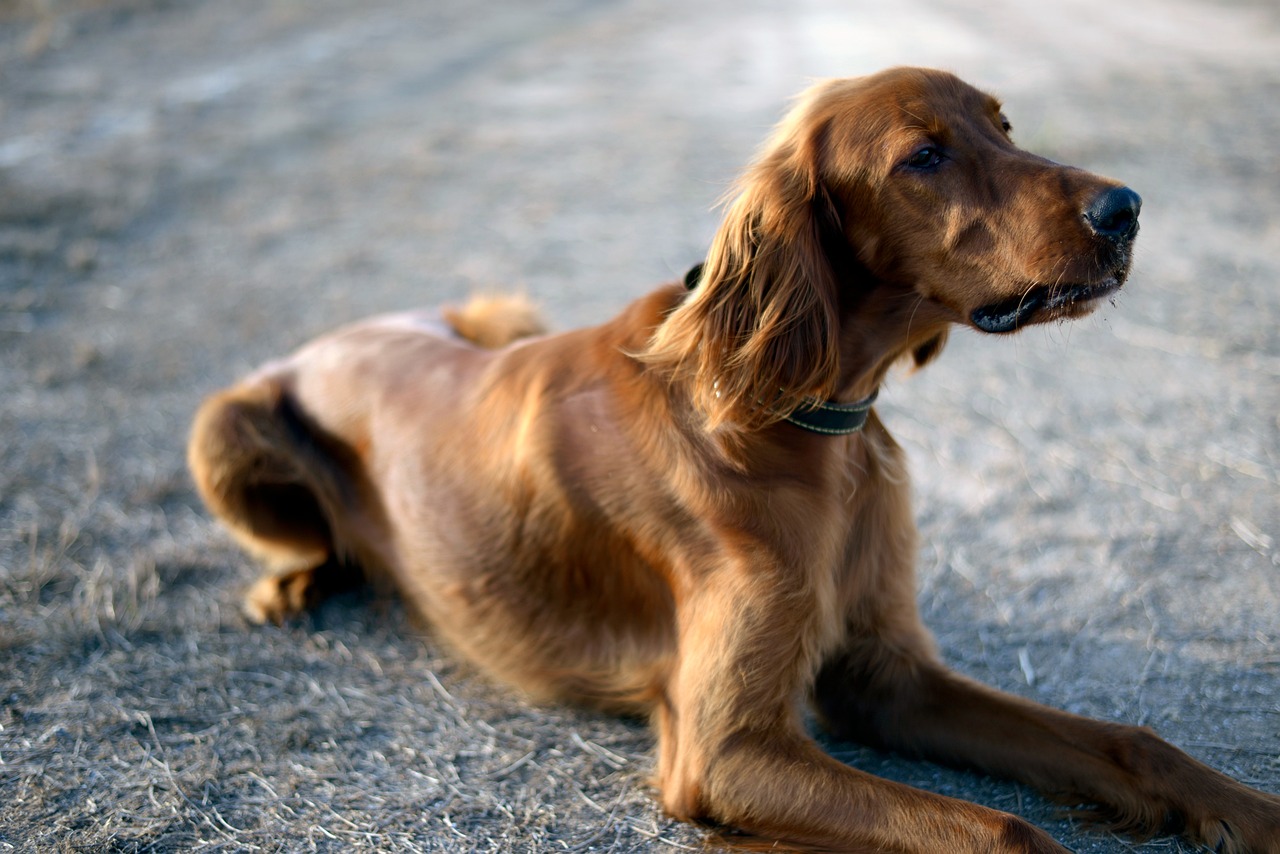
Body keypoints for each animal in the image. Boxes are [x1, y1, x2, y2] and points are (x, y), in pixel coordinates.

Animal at [189, 68, 1280, 854]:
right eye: (923, 156)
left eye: (1004, 126)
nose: (1125, 208)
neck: (802, 421)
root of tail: (333, 335)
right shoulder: (727, 753)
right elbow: (1008, 831)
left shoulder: (885, 674)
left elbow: (1128, 738)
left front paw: (1246, 811)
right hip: (220, 427)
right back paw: (290, 584)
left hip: (495, 310)